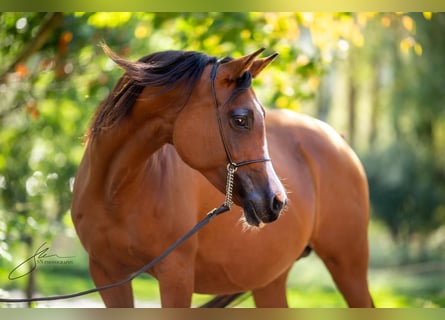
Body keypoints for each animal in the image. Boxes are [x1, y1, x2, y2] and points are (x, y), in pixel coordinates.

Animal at [71, 45, 372, 308]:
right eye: (241, 119)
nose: (277, 200)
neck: (115, 190)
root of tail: (336, 138)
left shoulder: (176, 275)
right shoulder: (108, 275)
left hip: (348, 267)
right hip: (270, 281)